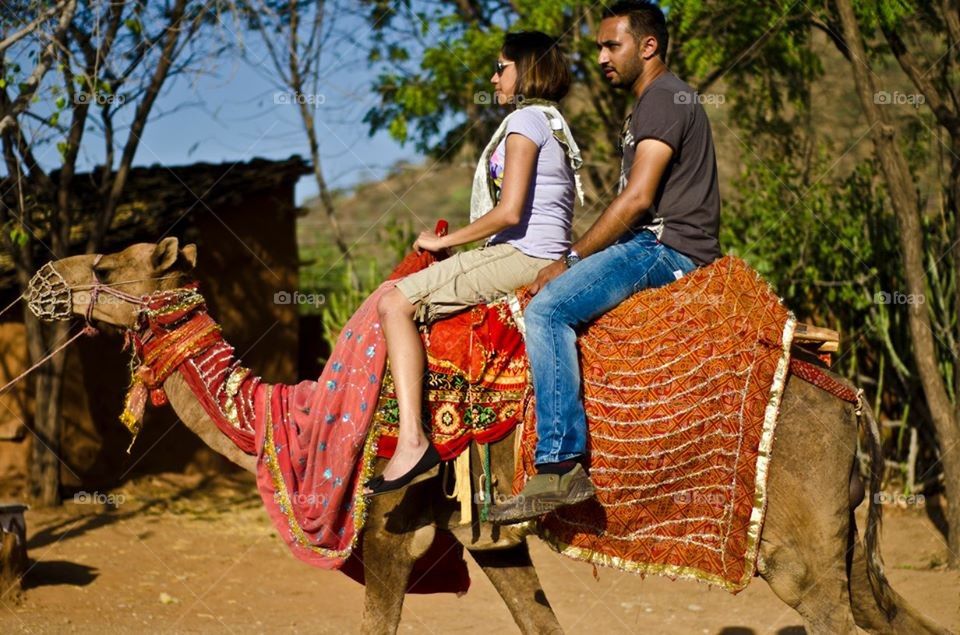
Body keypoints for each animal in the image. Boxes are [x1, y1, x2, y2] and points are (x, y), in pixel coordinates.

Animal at [30, 240, 952, 635]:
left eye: (108, 266)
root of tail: (851, 400)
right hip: (844, 545)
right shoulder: (489, 537)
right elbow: (539, 621)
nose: (45, 278)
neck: (312, 417)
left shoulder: (389, 528)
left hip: (799, 554)